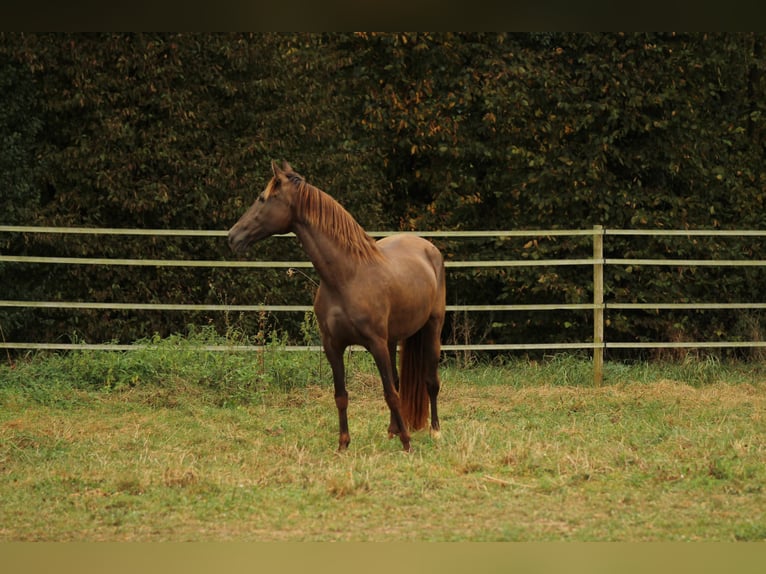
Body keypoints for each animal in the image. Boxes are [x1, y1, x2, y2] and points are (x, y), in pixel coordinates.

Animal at [226, 162, 444, 454]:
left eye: (262, 198)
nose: (232, 236)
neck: (346, 277)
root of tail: (428, 247)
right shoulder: (333, 345)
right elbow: (342, 395)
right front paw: (343, 445)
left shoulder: (375, 343)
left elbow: (390, 393)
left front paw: (407, 444)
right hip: (392, 339)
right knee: (398, 382)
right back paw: (392, 431)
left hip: (432, 327)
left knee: (430, 381)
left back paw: (434, 431)